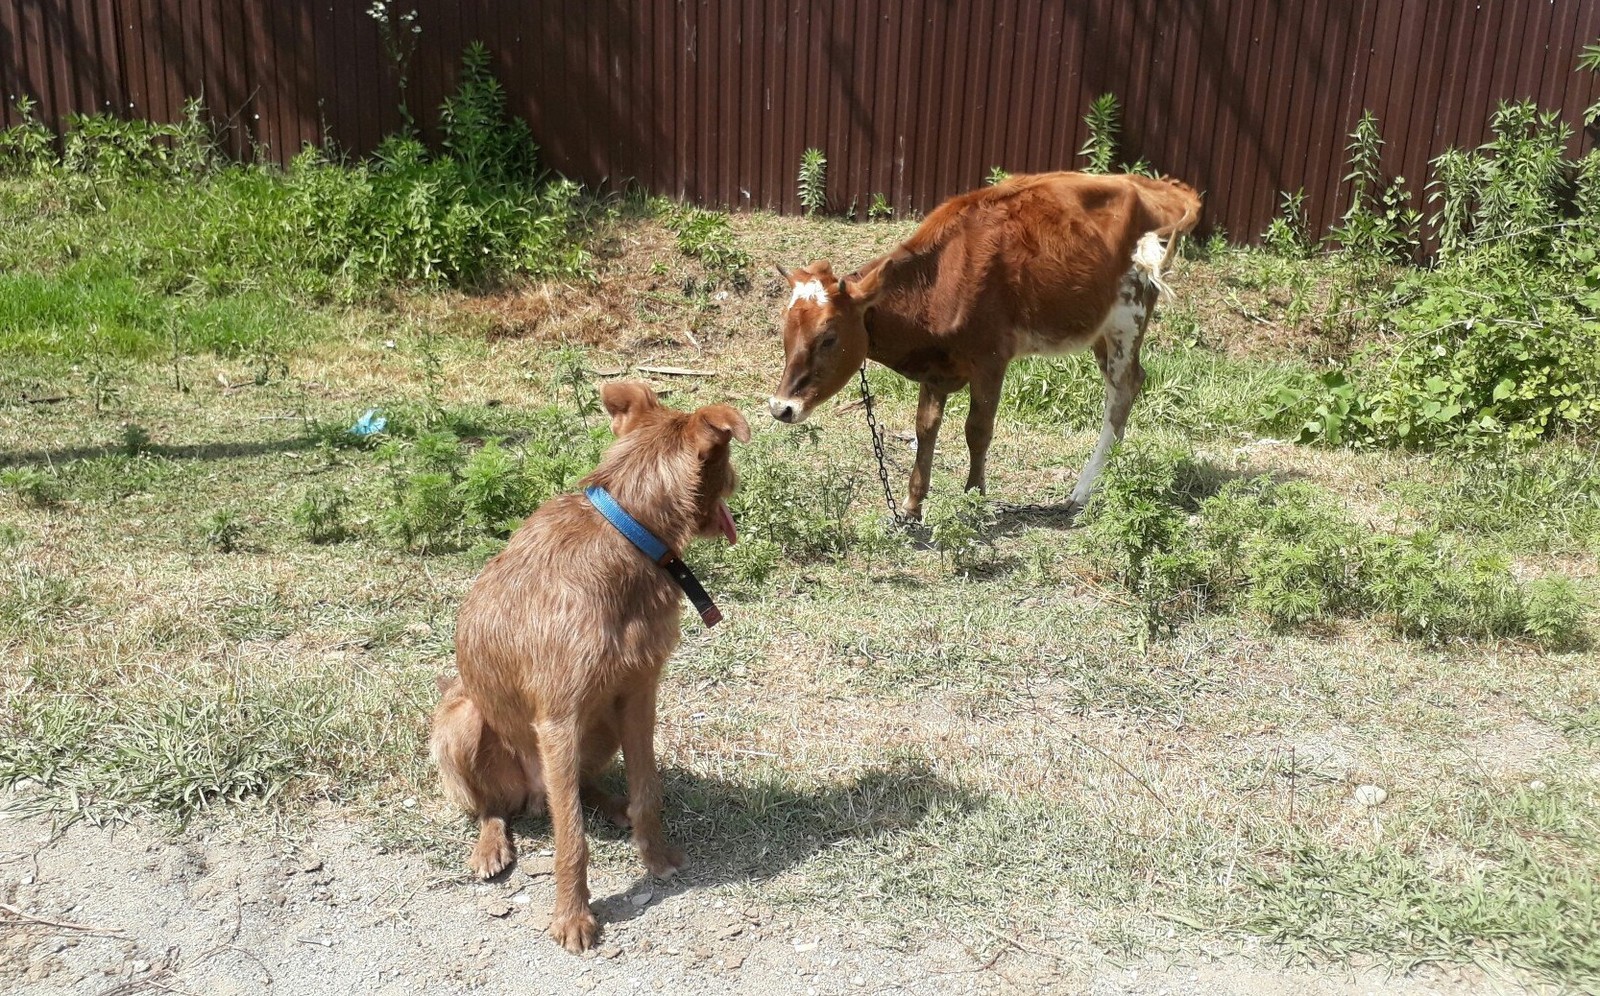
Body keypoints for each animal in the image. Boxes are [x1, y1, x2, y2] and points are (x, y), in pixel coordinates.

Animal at [428, 382, 745, 954]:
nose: (736, 485)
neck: (627, 531)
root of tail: (531, 795)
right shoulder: (557, 718)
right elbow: (571, 840)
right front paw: (572, 917)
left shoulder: (640, 692)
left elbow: (647, 790)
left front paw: (655, 856)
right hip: (462, 719)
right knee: (500, 805)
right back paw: (490, 846)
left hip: (600, 727)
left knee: (575, 789)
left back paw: (608, 804)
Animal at [764, 170, 1203, 518]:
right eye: (786, 332)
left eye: (829, 337)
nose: (781, 407)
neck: (942, 278)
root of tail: (1156, 185)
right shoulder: (937, 368)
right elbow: (926, 428)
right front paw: (912, 506)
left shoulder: (991, 359)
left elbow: (977, 429)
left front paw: (974, 497)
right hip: (1100, 328)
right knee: (1130, 383)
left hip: (1129, 316)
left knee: (1121, 391)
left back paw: (1084, 488)